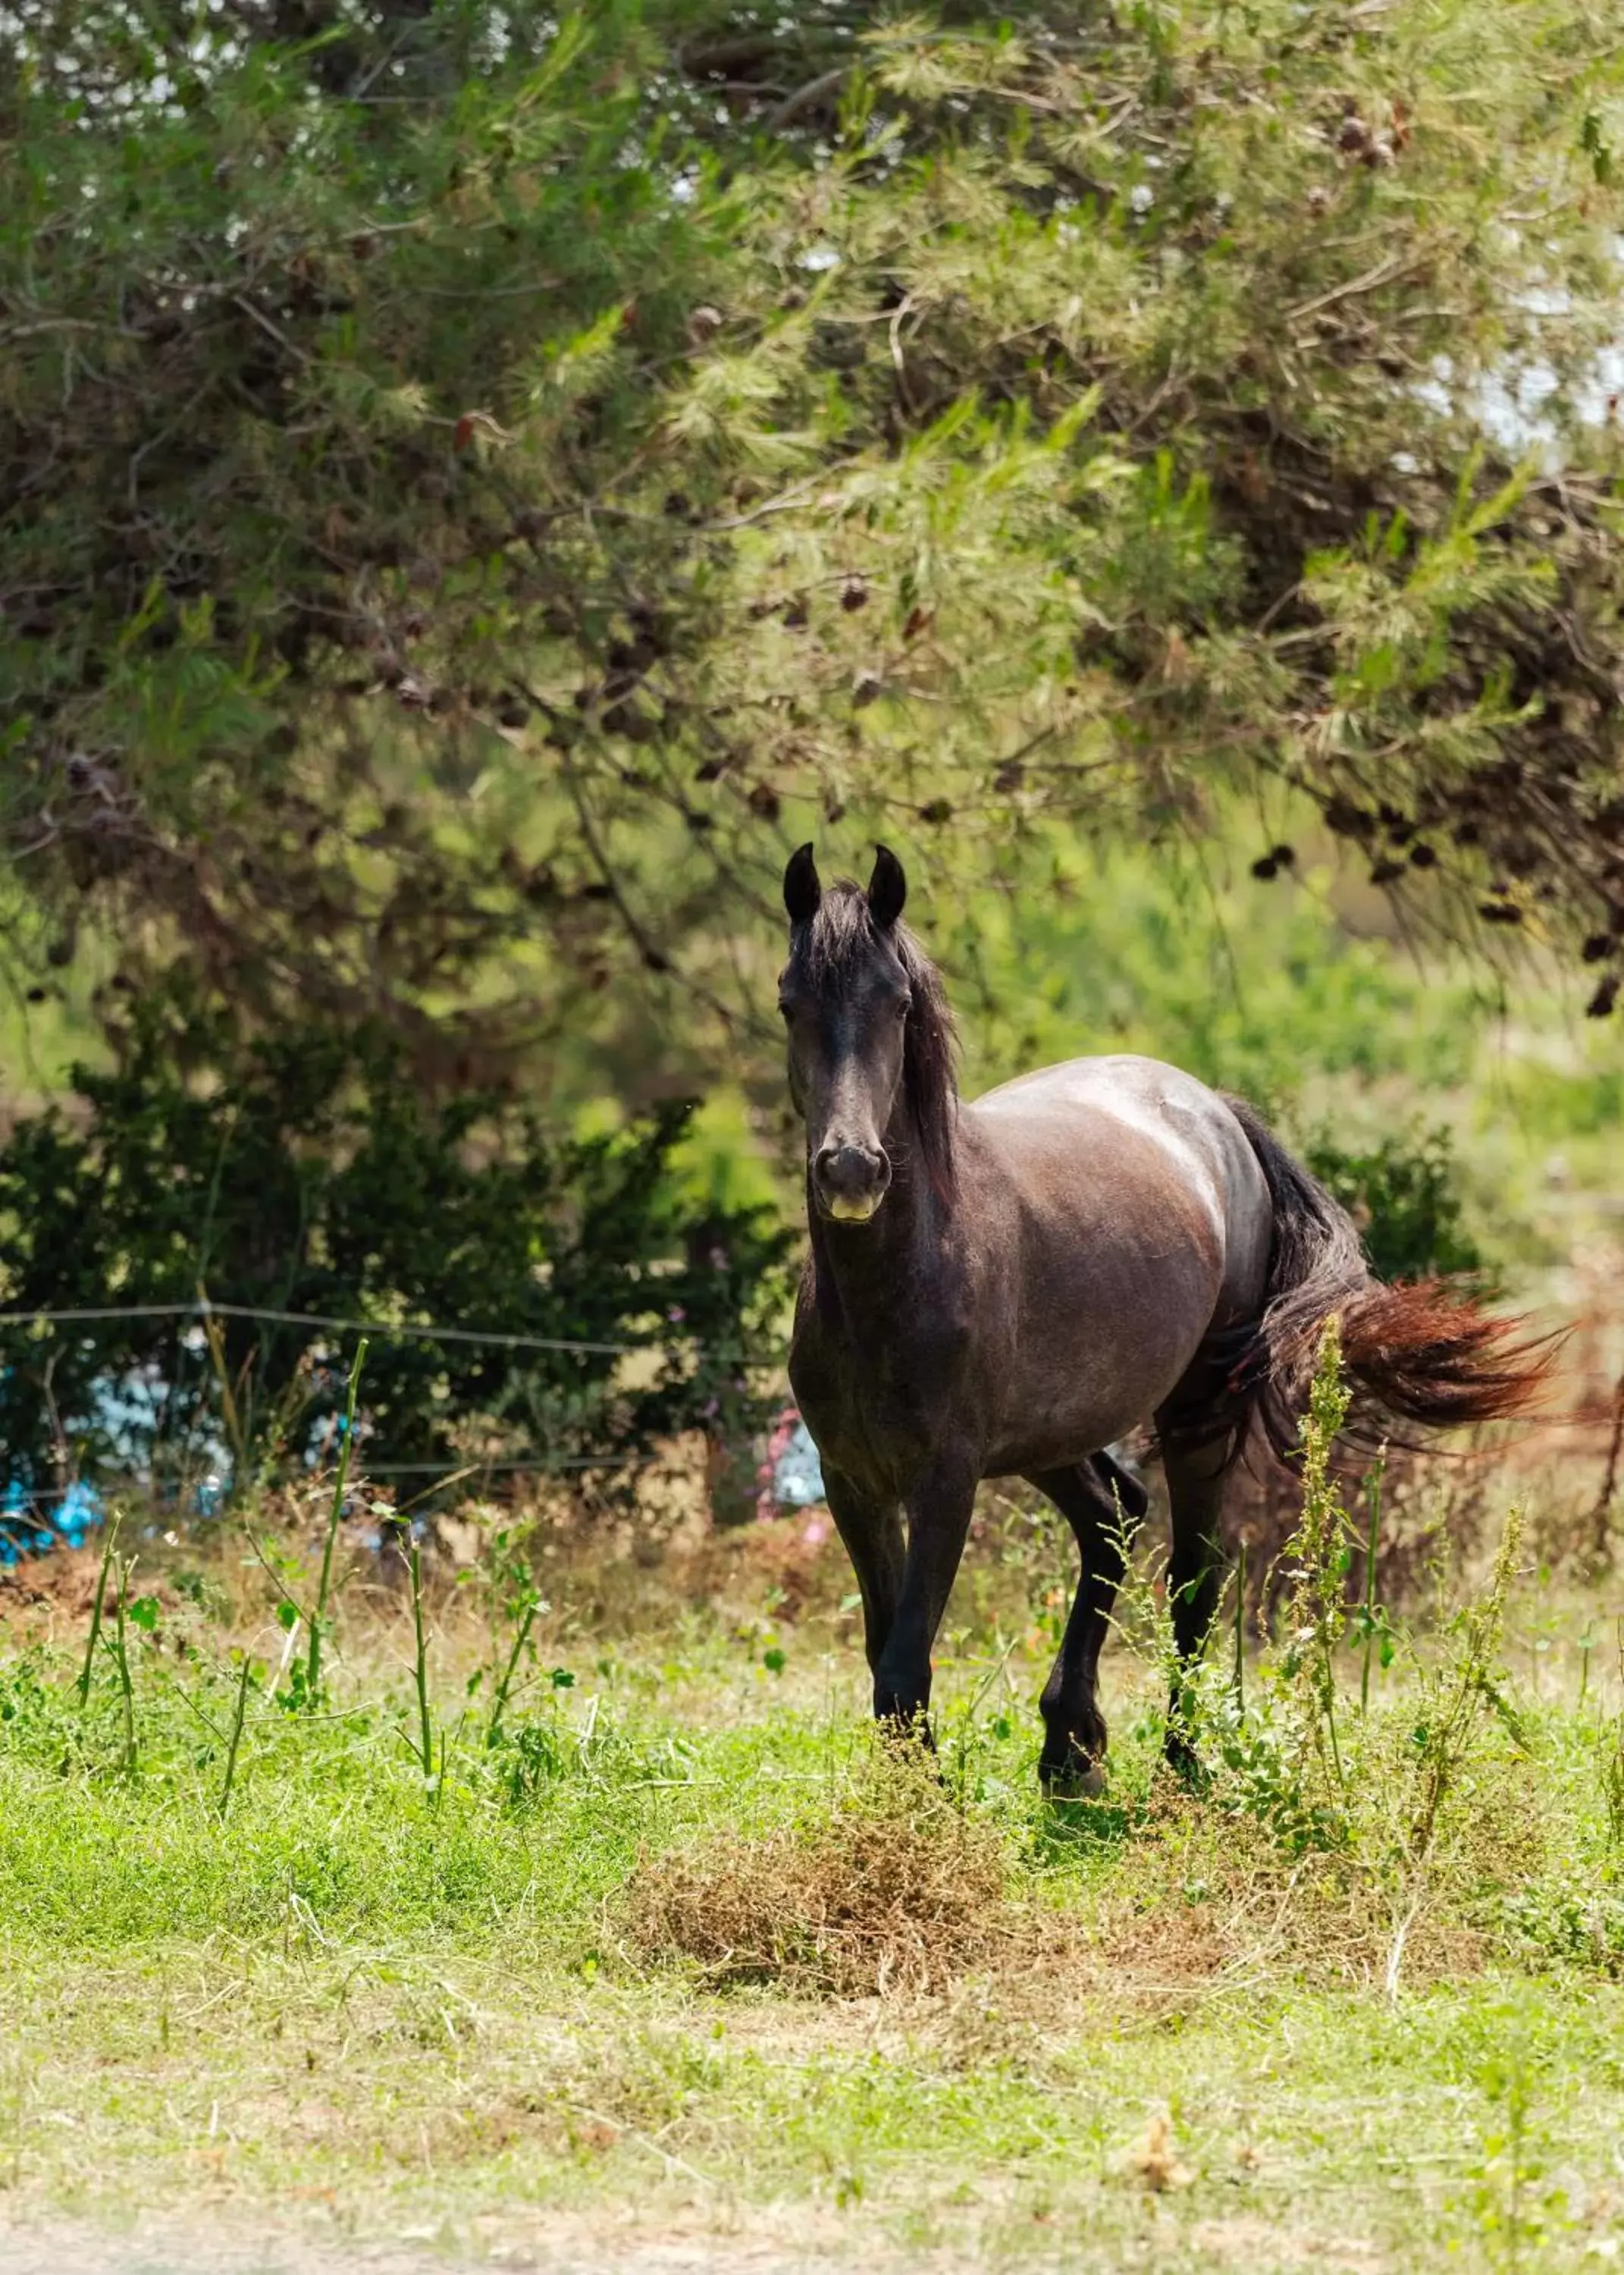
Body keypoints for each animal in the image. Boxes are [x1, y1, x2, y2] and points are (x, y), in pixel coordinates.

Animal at [778, 846, 1547, 1784]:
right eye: (790, 1003)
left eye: (896, 1003)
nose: (851, 1170)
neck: (894, 1290)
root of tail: (1216, 1111)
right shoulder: (852, 1482)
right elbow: (884, 1652)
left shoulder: (945, 1484)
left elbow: (904, 1661)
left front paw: (918, 1804)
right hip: (1055, 1435)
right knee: (1113, 1520)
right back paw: (1070, 1741)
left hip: (1196, 1412)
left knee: (1193, 1574)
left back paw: (1177, 1759)